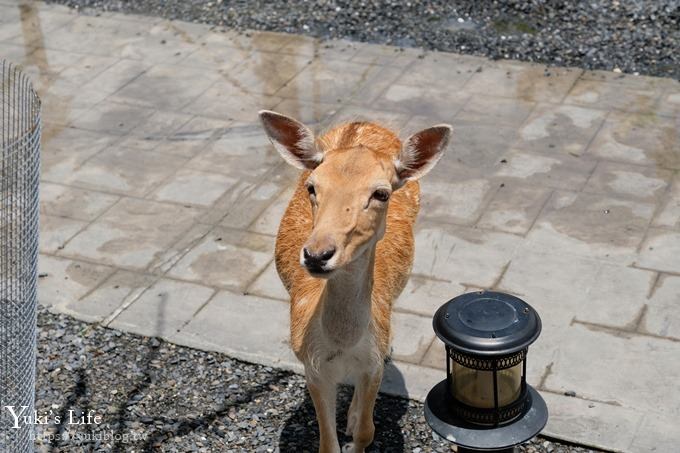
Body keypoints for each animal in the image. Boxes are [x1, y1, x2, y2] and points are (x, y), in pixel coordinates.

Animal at [260, 110, 452, 452]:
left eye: (381, 193)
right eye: (312, 187)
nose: (317, 254)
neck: (343, 347)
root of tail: (364, 123)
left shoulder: (373, 365)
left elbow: (367, 431)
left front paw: (354, 431)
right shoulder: (313, 367)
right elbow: (326, 443)